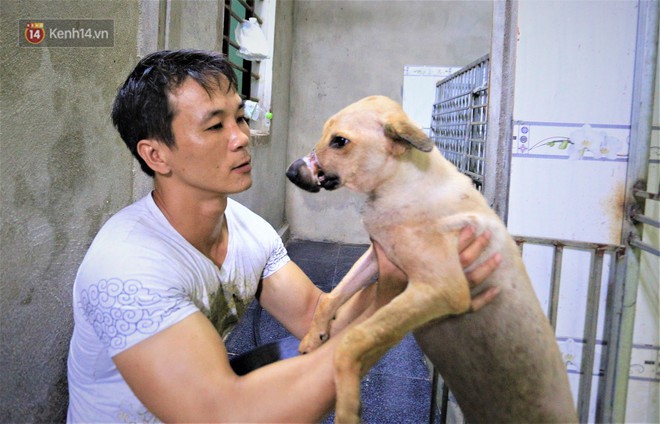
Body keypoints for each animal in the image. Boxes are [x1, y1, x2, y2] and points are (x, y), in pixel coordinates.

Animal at [286, 96, 576, 424]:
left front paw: (347, 406)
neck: (402, 182)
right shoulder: (378, 256)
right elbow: (330, 298)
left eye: (339, 141)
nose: (291, 172)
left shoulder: (444, 289)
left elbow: (352, 339)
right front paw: (314, 336)